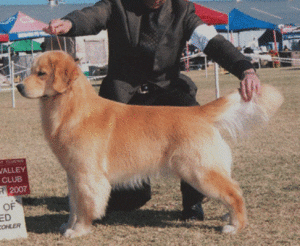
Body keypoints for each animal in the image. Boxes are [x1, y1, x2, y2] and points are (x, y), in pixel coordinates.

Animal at [17, 51, 284, 237]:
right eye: (30, 71)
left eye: (41, 73)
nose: (18, 86)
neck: (71, 107)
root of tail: (197, 112)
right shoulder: (73, 174)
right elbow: (73, 204)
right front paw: (68, 225)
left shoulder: (87, 174)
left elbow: (85, 205)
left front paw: (79, 230)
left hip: (199, 170)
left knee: (234, 192)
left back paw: (235, 226)